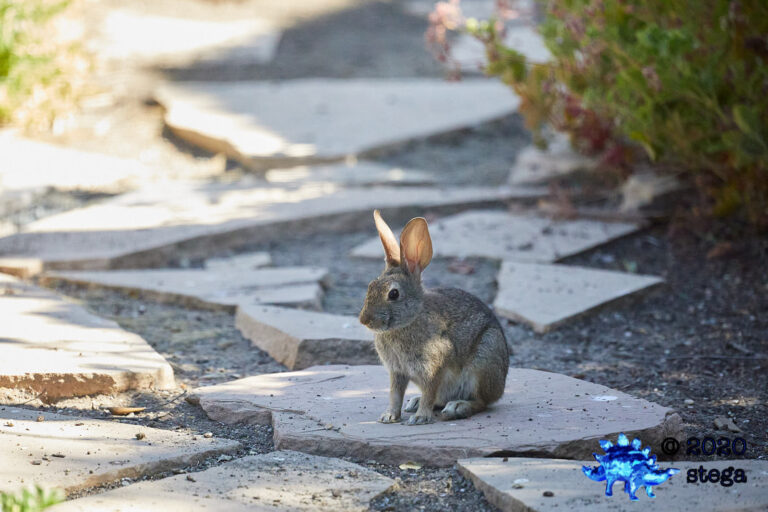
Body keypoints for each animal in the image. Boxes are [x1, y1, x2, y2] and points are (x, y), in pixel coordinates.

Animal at [358, 210, 509, 425]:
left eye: (393, 294)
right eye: (371, 286)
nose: (364, 320)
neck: (410, 319)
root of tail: (501, 386)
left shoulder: (434, 368)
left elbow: (429, 392)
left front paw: (420, 418)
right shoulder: (397, 372)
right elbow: (395, 394)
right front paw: (389, 416)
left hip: (484, 360)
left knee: (481, 402)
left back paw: (456, 407)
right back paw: (415, 402)